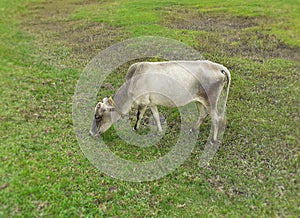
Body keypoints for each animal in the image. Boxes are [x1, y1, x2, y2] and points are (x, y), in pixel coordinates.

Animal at [88, 59, 230, 143]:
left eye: (98, 116)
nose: (90, 133)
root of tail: (216, 66)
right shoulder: (151, 103)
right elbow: (156, 116)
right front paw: (160, 131)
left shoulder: (143, 102)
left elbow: (139, 116)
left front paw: (135, 129)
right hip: (199, 100)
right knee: (203, 114)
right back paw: (193, 130)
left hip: (211, 101)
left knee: (216, 119)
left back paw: (213, 140)